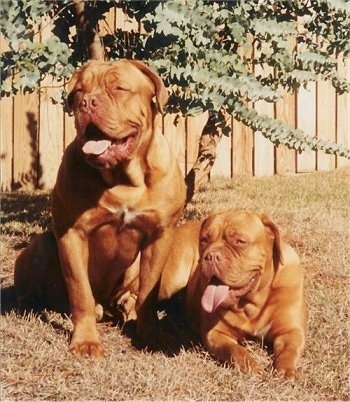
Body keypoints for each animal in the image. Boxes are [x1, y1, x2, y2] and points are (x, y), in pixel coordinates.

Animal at [32, 58, 186, 356]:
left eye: (119, 88)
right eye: (79, 92)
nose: (87, 102)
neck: (123, 178)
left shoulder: (159, 236)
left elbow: (149, 292)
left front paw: (151, 334)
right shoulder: (72, 234)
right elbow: (80, 292)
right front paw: (85, 341)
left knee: (130, 294)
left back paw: (126, 307)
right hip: (41, 245)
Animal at [186, 210, 306, 380]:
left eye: (240, 241)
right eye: (204, 240)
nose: (211, 256)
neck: (252, 302)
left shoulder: (291, 331)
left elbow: (288, 351)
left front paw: (287, 371)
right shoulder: (216, 334)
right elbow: (235, 350)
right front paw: (252, 366)